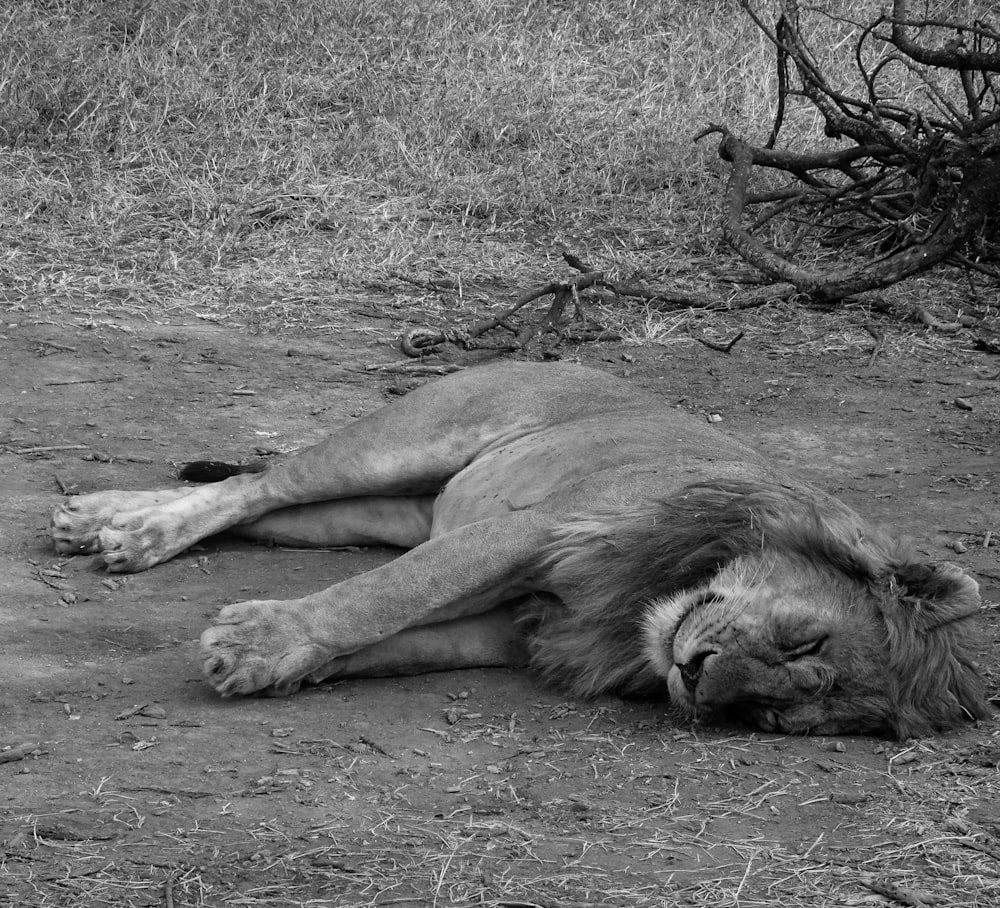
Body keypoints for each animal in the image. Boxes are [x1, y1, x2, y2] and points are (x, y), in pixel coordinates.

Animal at [50, 358, 988, 736]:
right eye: (804, 640)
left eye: (771, 716)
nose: (696, 678)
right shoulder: (528, 530)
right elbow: (385, 596)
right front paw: (257, 643)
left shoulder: (517, 629)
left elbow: (393, 641)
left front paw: (287, 666)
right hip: (404, 441)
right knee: (265, 481)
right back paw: (129, 532)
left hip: (387, 509)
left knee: (258, 503)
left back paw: (101, 517)